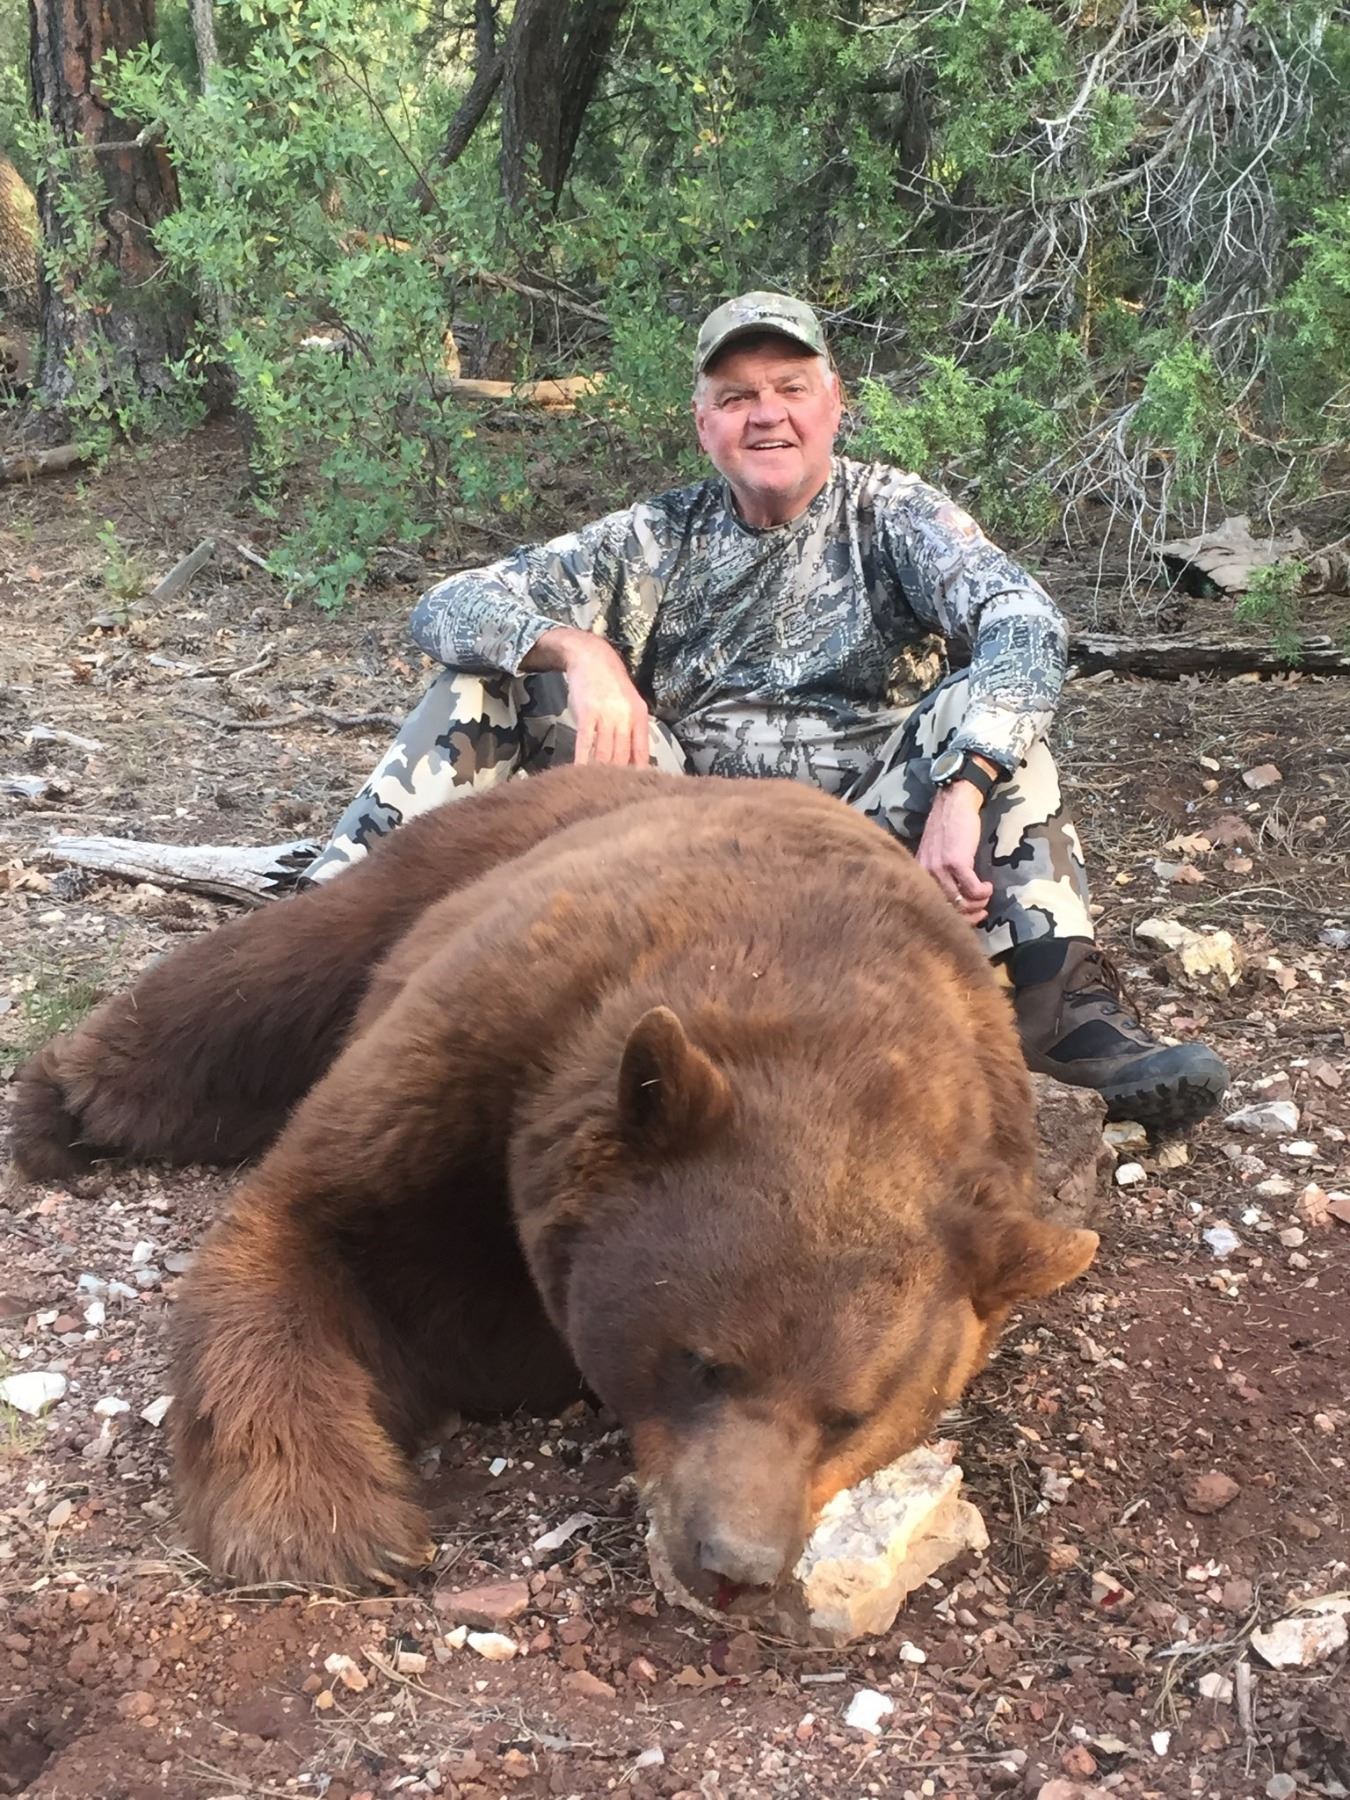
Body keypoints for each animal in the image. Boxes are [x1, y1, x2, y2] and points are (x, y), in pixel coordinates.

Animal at [12, 767, 1098, 1594]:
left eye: (854, 1417)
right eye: (704, 1362)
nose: (734, 1566)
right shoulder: (498, 1031)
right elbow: (304, 1221)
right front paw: (331, 1527)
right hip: (439, 866)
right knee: (263, 975)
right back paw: (58, 1106)